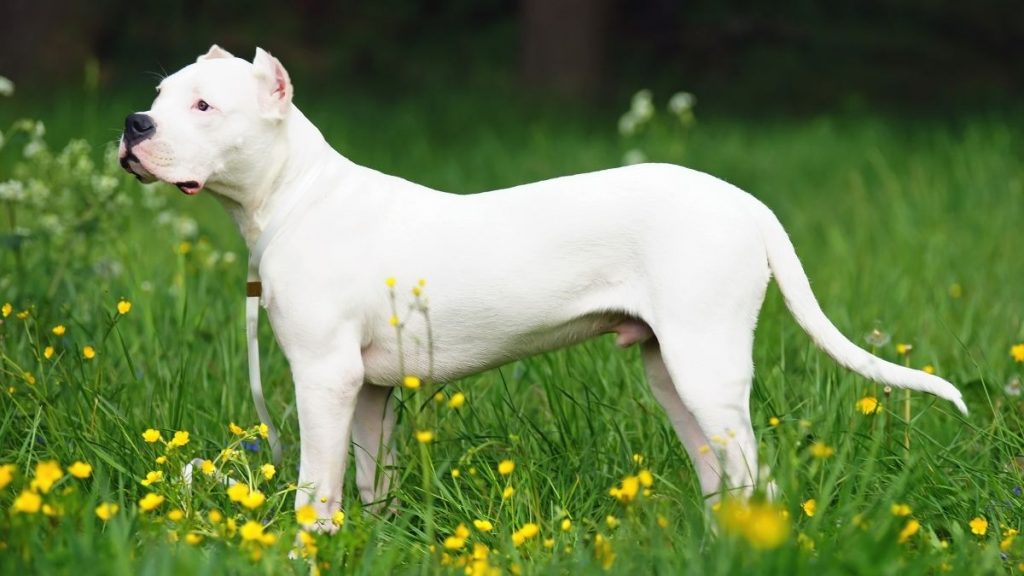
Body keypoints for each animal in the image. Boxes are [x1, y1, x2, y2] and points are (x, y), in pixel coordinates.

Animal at [121, 44, 966, 528]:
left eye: (204, 105)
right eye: (158, 97)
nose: (134, 125)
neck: (292, 196)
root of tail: (747, 204)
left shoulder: (323, 378)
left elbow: (312, 489)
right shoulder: (368, 391)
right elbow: (366, 482)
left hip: (706, 364)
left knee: (753, 475)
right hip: (671, 372)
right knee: (720, 473)